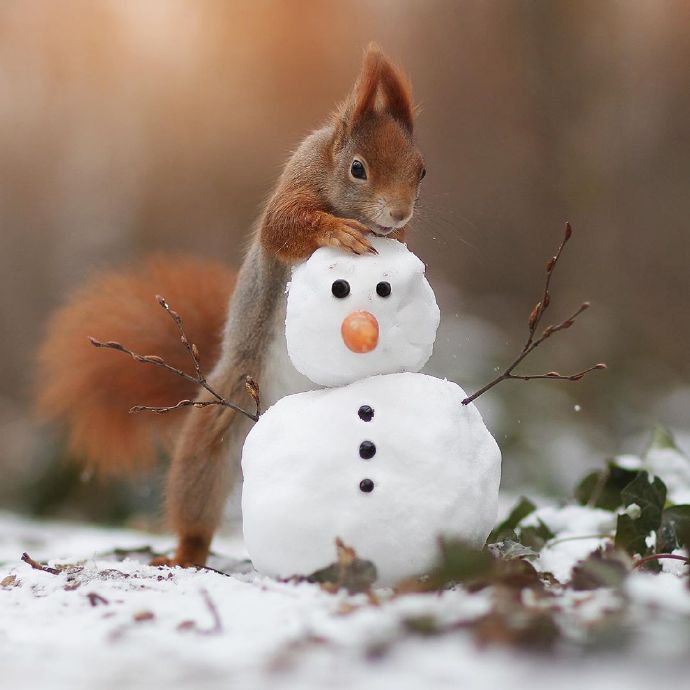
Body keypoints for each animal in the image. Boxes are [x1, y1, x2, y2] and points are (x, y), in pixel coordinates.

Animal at [39, 45, 424, 568]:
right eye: (357, 169)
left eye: (422, 171)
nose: (399, 213)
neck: (329, 167)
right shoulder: (294, 189)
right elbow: (283, 228)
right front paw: (338, 231)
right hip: (222, 418)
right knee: (198, 490)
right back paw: (185, 553)